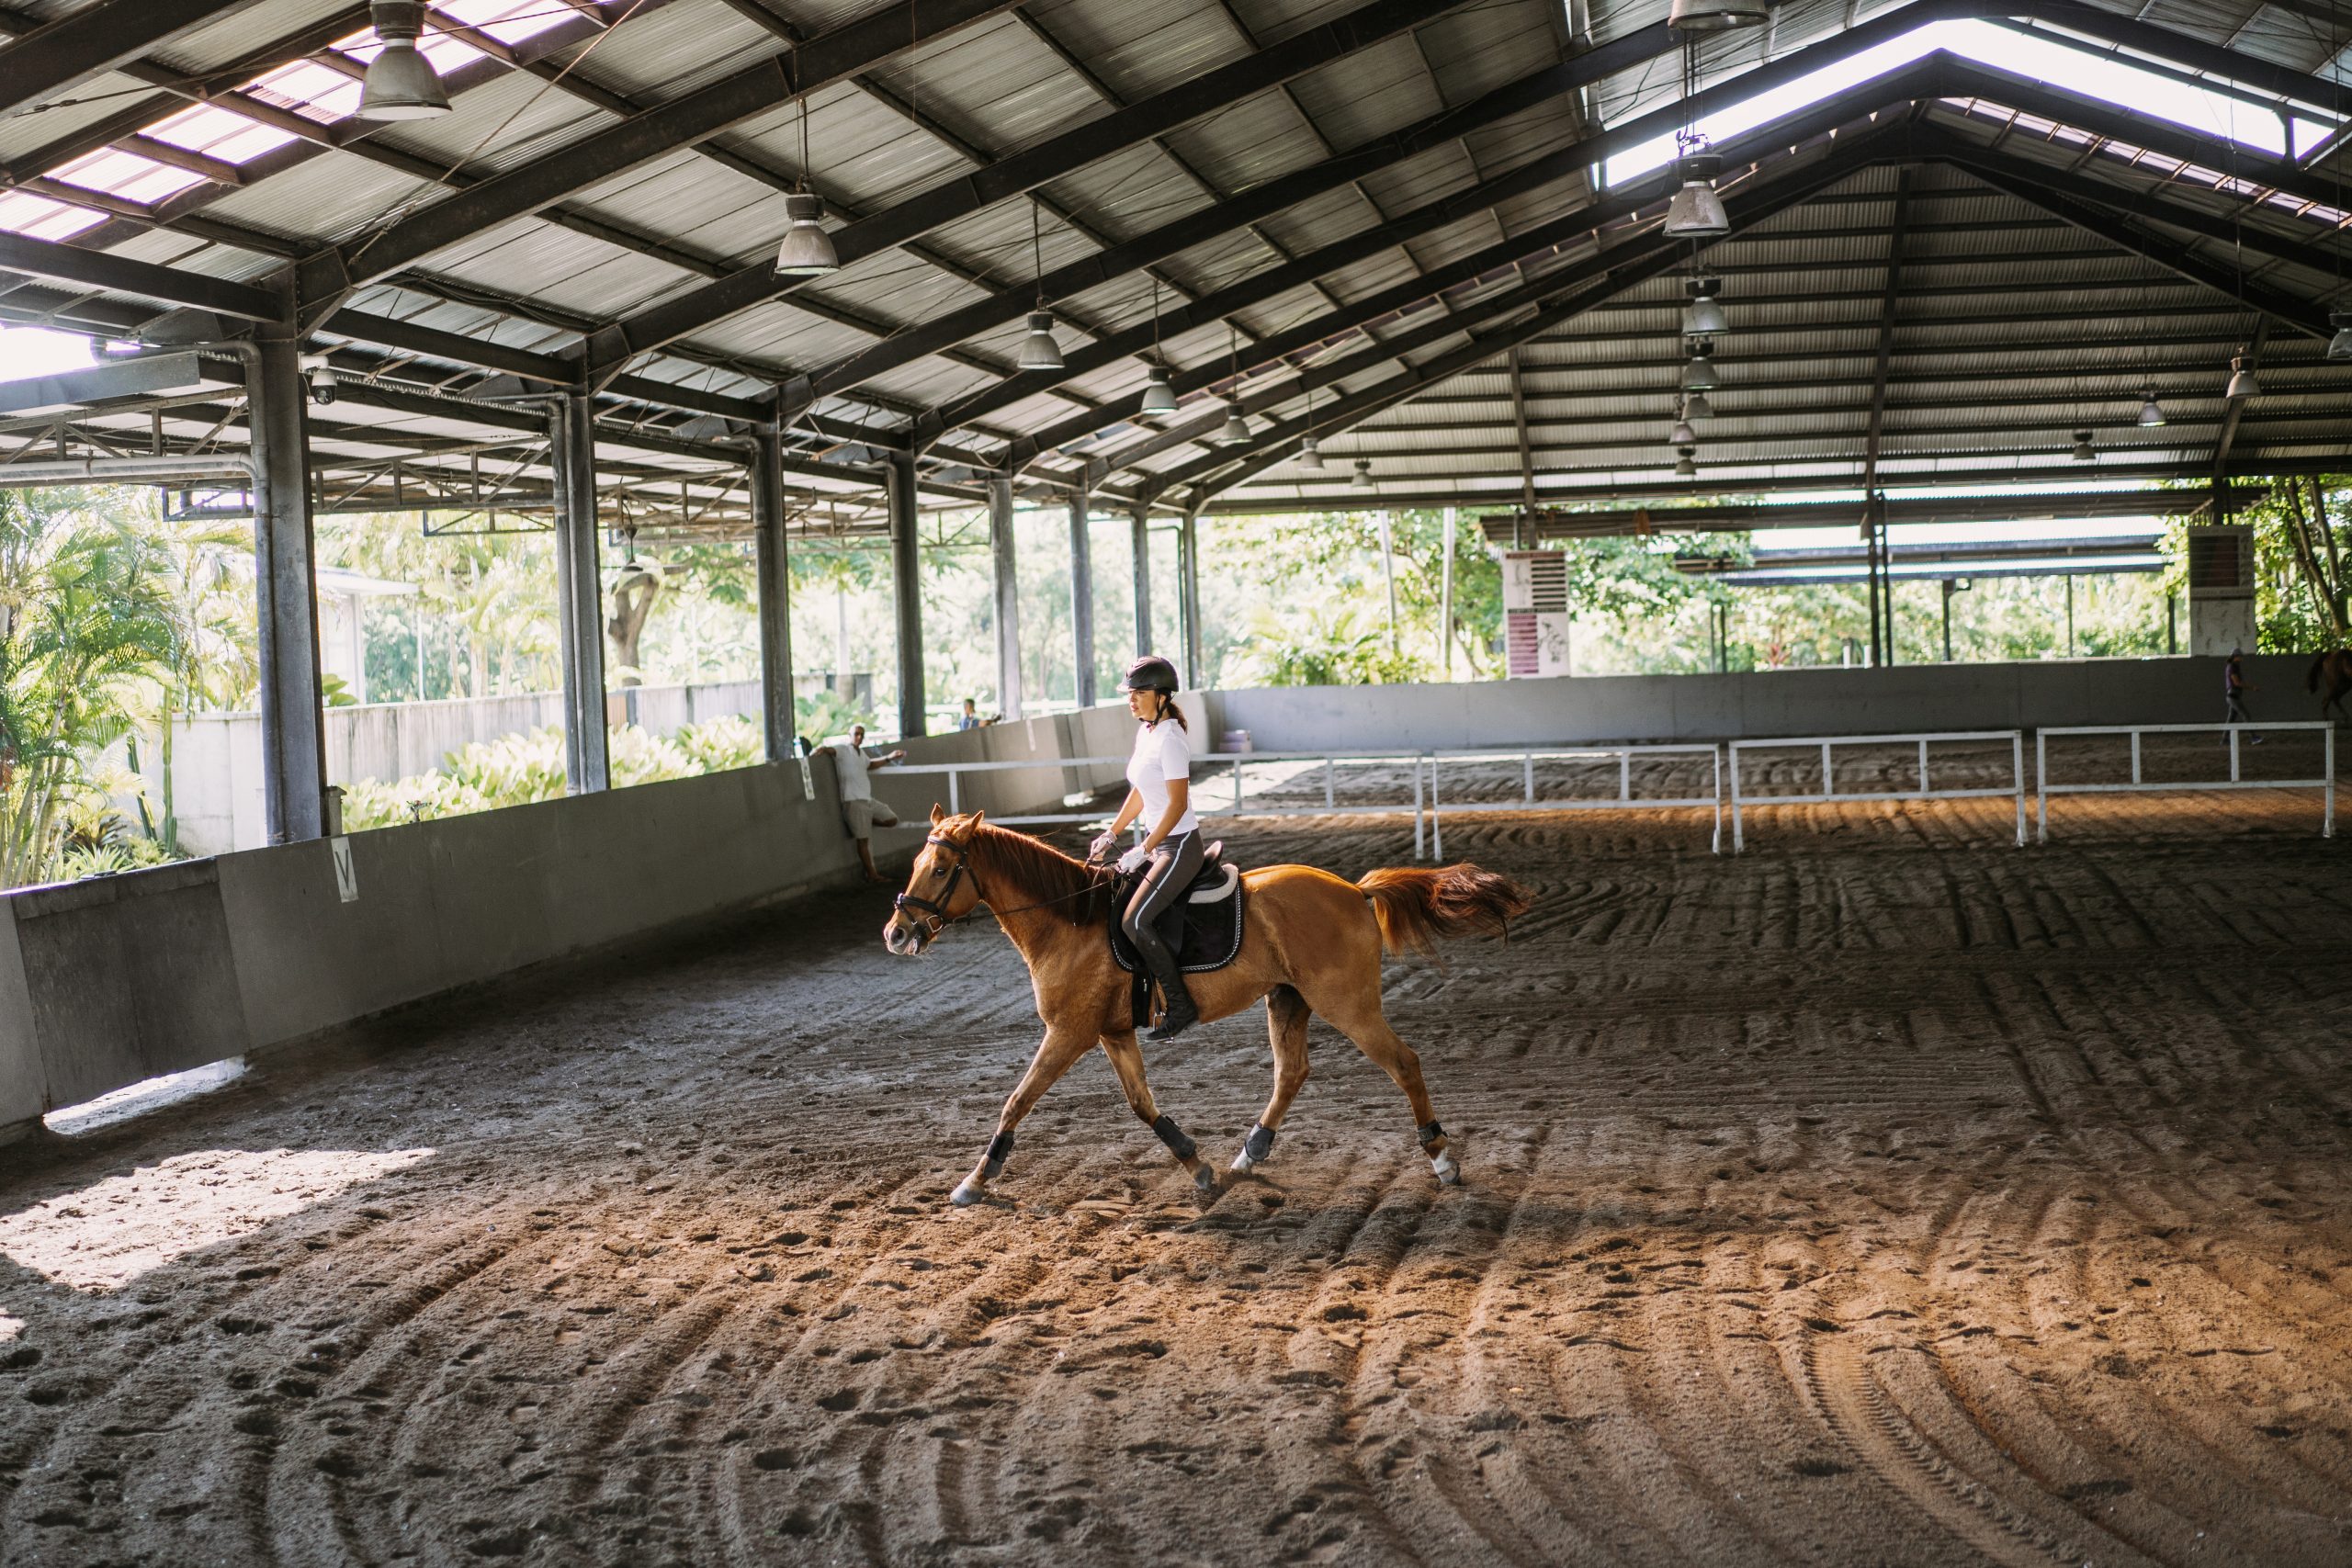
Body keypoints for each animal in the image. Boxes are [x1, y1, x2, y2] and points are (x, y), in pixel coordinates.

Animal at [879, 818, 1523, 1213]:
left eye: (941, 870)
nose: (896, 933)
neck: (1070, 922)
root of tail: (1353, 890)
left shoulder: (1069, 1033)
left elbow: (1016, 1100)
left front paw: (974, 1181)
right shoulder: (1112, 1031)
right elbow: (1143, 1105)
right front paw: (1198, 1168)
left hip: (1348, 1004)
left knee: (1404, 1062)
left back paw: (1443, 1161)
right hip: (1287, 1000)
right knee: (1291, 1074)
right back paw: (1247, 1154)